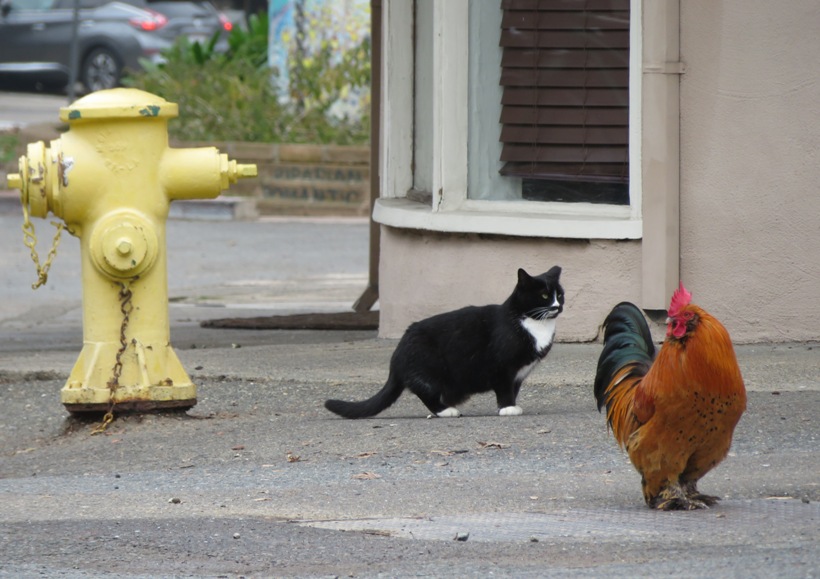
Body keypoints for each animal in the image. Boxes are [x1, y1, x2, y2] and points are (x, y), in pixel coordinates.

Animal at [326, 266, 564, 420]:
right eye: (544, 296)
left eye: (560, 295)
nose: (557, 306)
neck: (533, 323)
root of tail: (397, 356)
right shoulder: (503, 368)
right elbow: (505, 389)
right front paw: (507, 408)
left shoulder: (518, 374)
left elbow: (513, 390)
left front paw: (510, 405)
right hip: (429, 367)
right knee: (426, 393)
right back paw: (446, 410)